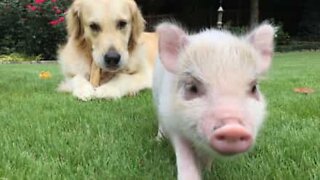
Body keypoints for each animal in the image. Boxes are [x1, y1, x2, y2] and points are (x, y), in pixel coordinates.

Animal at [153, 22, 276, 180]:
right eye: (192, 87)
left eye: (254, 87)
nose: (233, 129)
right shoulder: (171, 119)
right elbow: (184, 154)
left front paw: (207, 171)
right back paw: (158, 141)